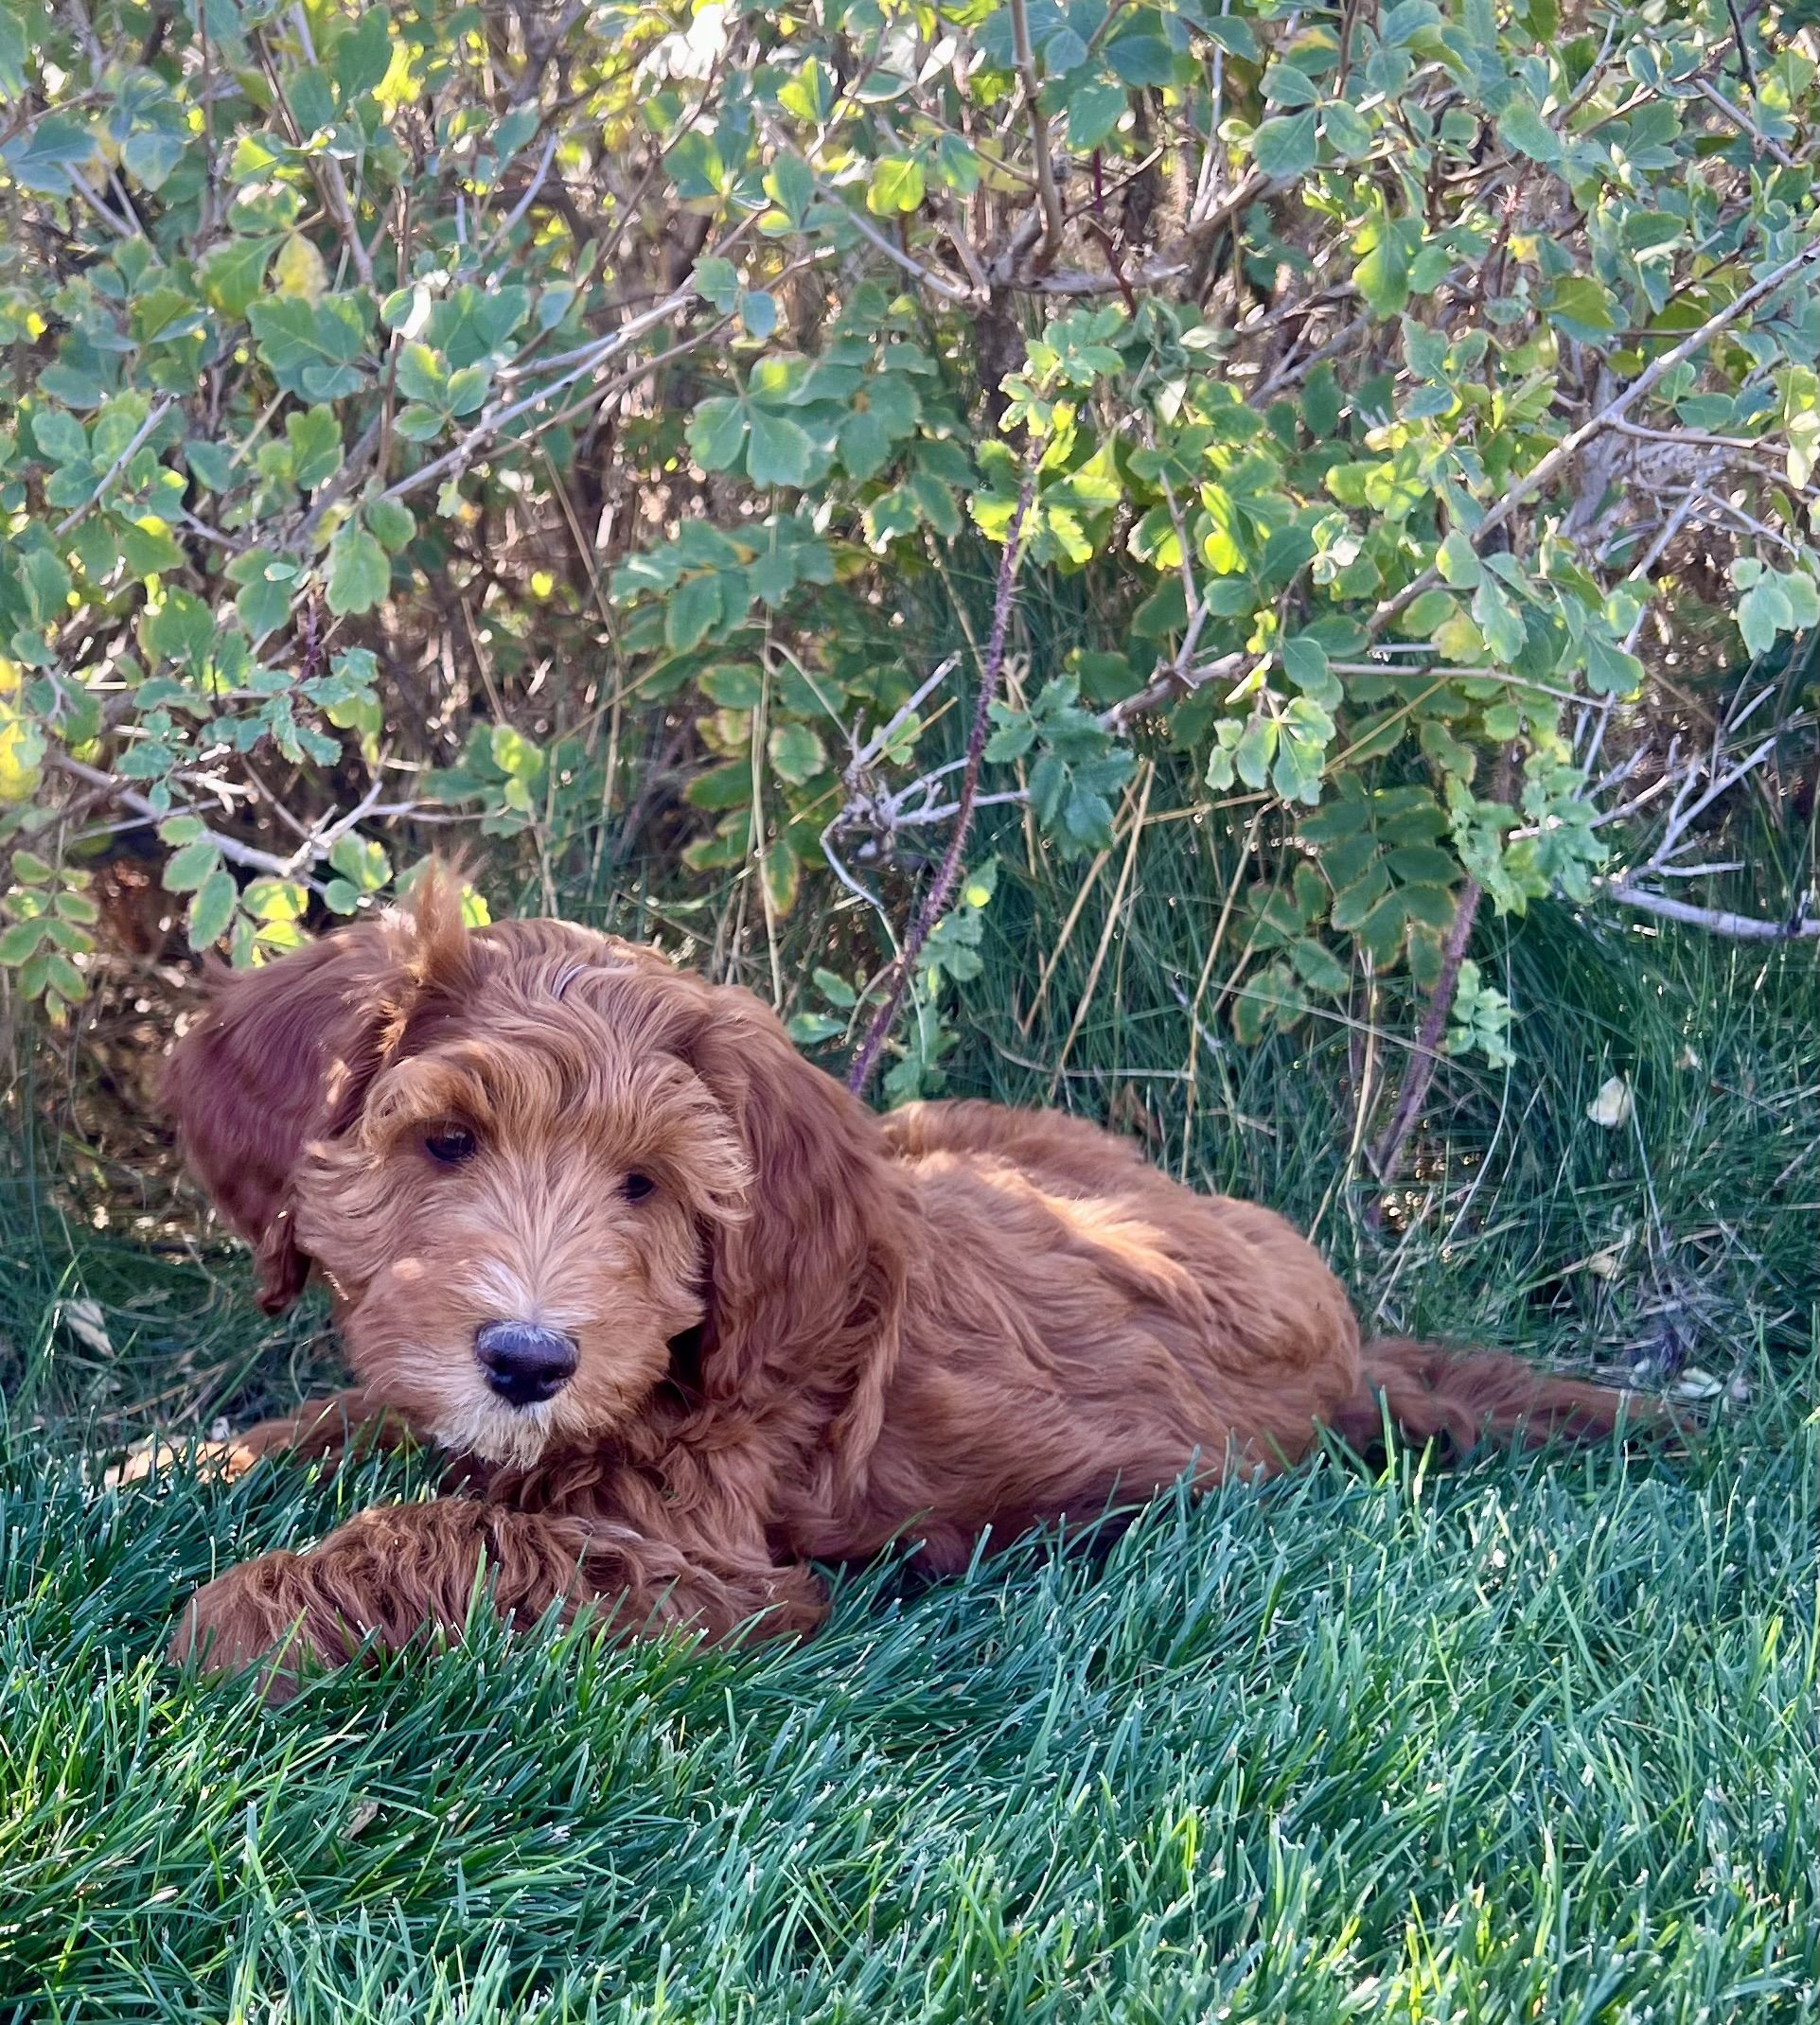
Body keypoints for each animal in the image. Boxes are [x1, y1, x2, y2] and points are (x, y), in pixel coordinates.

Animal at [156, 875, 1659, 1698]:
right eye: (447, 1142)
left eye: (645, 1185)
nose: (528, 1362)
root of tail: (1352, 1345)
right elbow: (356, 1426)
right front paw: (180, 1465)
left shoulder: (706, 1569)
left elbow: (459, 1534)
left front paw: (249, 1609)